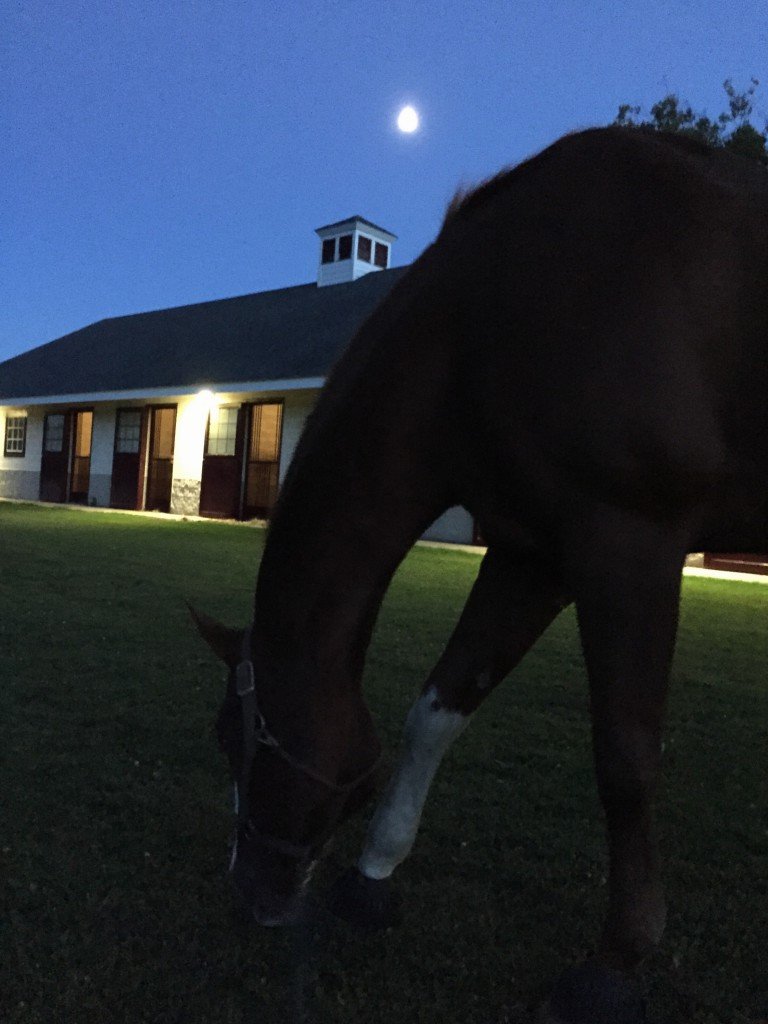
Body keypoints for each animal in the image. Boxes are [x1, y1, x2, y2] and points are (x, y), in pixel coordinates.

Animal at [193, 130, 768, 1024]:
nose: (252, 892)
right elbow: (441, 705)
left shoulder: (628, 546)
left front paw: (617, 959)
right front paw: (373, 878)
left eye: (234, 736)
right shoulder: (534, 555)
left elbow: (626, 758)